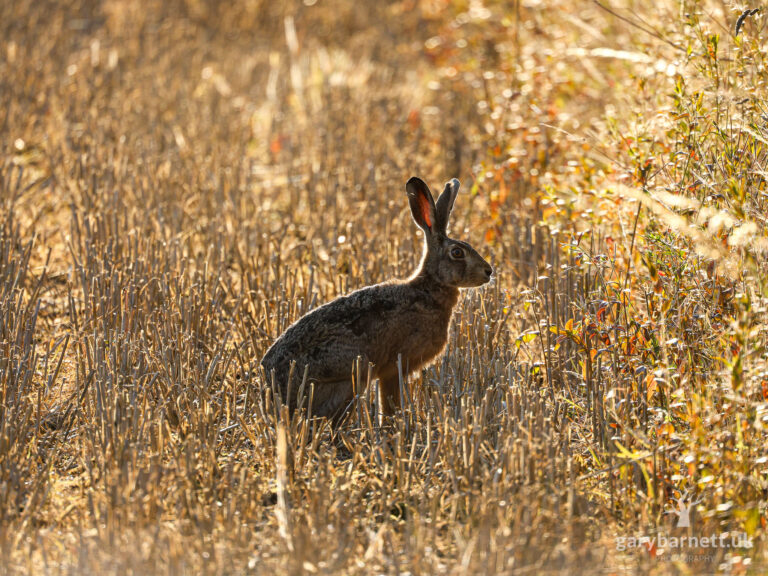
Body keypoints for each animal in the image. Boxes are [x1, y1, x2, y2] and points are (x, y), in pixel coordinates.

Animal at [260, 176, 493, 420]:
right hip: (352, 374)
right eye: (457, 253)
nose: (488, 272)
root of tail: (275, 394)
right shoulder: (394, 367)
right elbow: (390, 403)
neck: (429, 288)